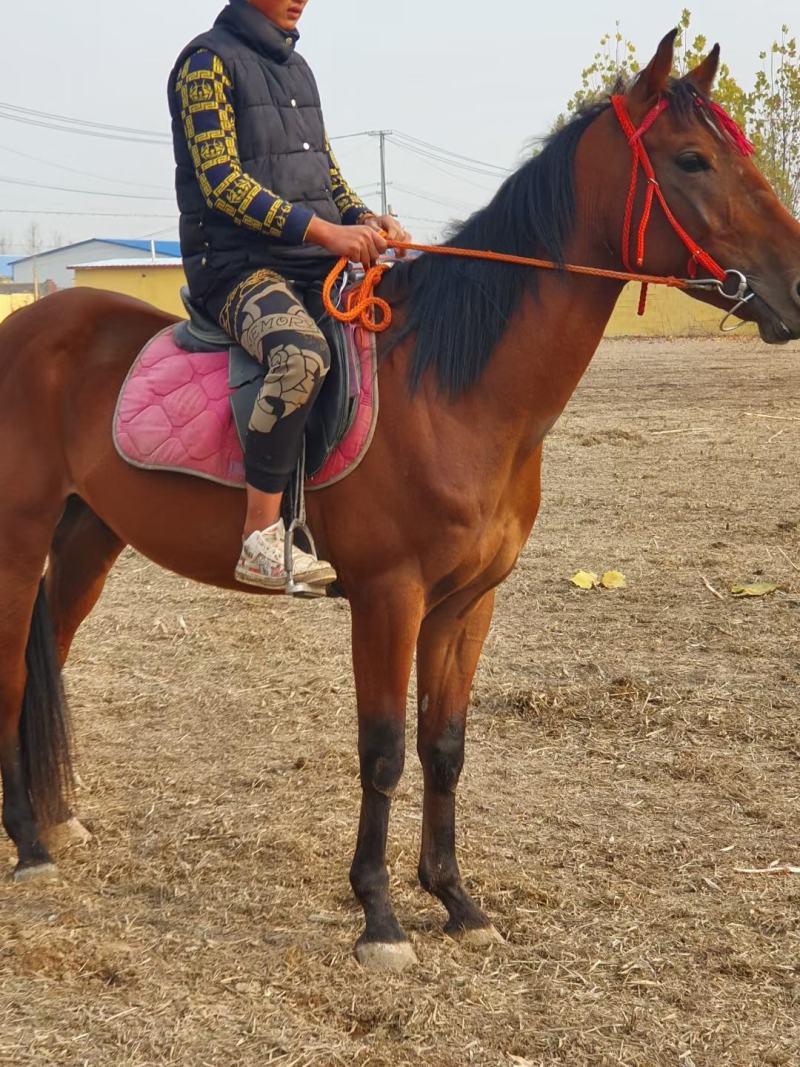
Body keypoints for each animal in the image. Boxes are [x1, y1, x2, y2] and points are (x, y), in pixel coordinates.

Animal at [2, 30, 799, 972]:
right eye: (691, 160)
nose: (796, 285)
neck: (452, 391)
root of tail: (28, 327)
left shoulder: (466, 604)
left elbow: (443, 747)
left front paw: (456, 899)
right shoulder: (389, 597)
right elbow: (382, 752)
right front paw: (379, 916)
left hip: (88, 539)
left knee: (44, 659)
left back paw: (52, 826)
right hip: (18, 542)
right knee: (13, 677)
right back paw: (30, 848)